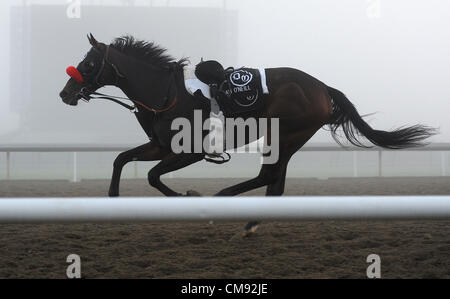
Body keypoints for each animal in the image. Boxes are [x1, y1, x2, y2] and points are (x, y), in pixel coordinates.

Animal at [59, 35, 436, 198]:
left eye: (88, 64)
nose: (65, 94)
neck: (165, 94)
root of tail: (322, 88)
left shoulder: (189, 151)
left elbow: (152, 176)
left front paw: (187, 196)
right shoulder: (160, 146)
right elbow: (121, 160)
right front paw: (112, 195)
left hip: (283, 132)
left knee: (269, 176)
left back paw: (222, 195)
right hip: (289, 138)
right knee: (275, 182)